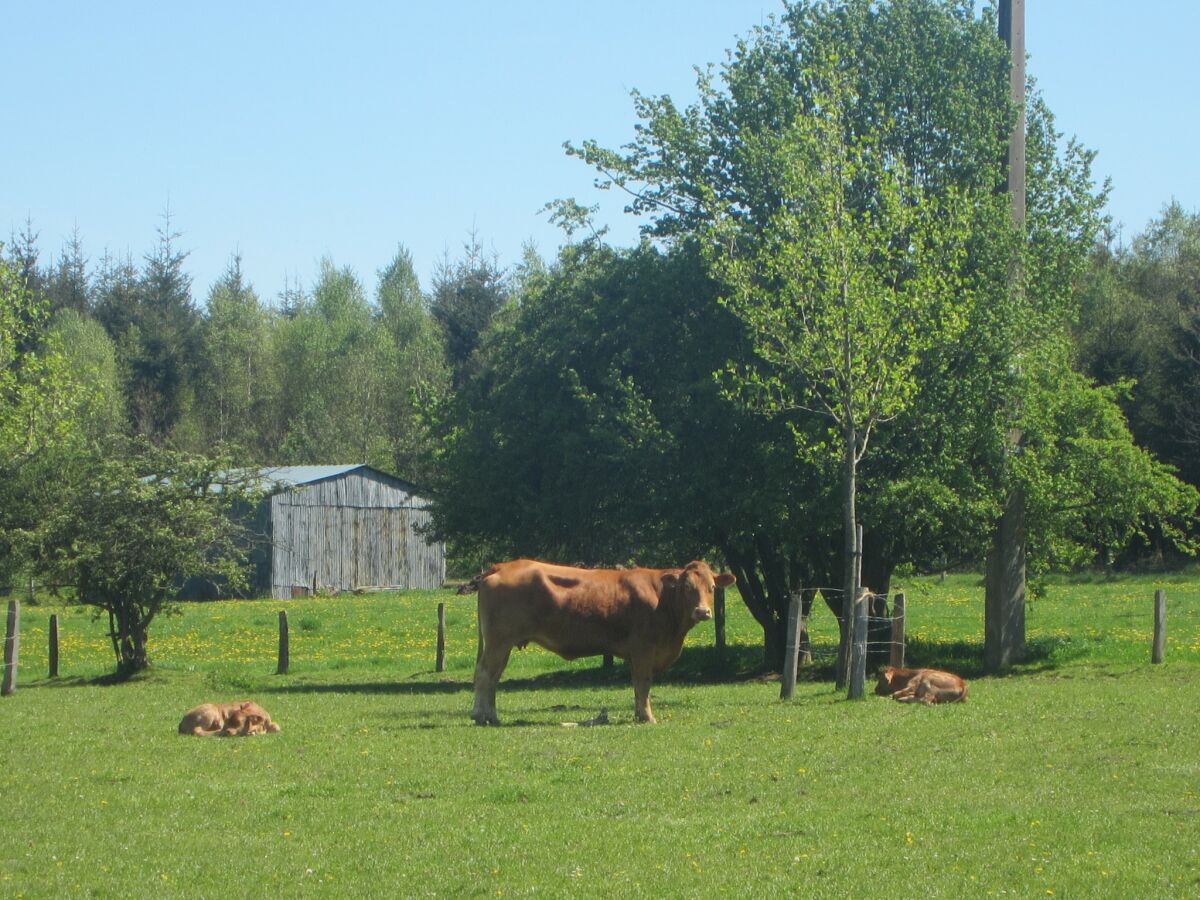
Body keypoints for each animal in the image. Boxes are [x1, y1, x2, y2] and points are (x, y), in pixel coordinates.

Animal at [465, 556, 729, 724]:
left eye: (712, 587)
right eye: (687, 587)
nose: (702, 612)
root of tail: (503, 566)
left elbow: (638, 685)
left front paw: (639, 714)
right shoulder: (643, 648)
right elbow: (643, 682)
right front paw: (647, 717)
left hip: (503, 644)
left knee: (493, 677)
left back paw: (491, 716)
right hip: (499, 641)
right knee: (485, 675)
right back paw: (480, 716)